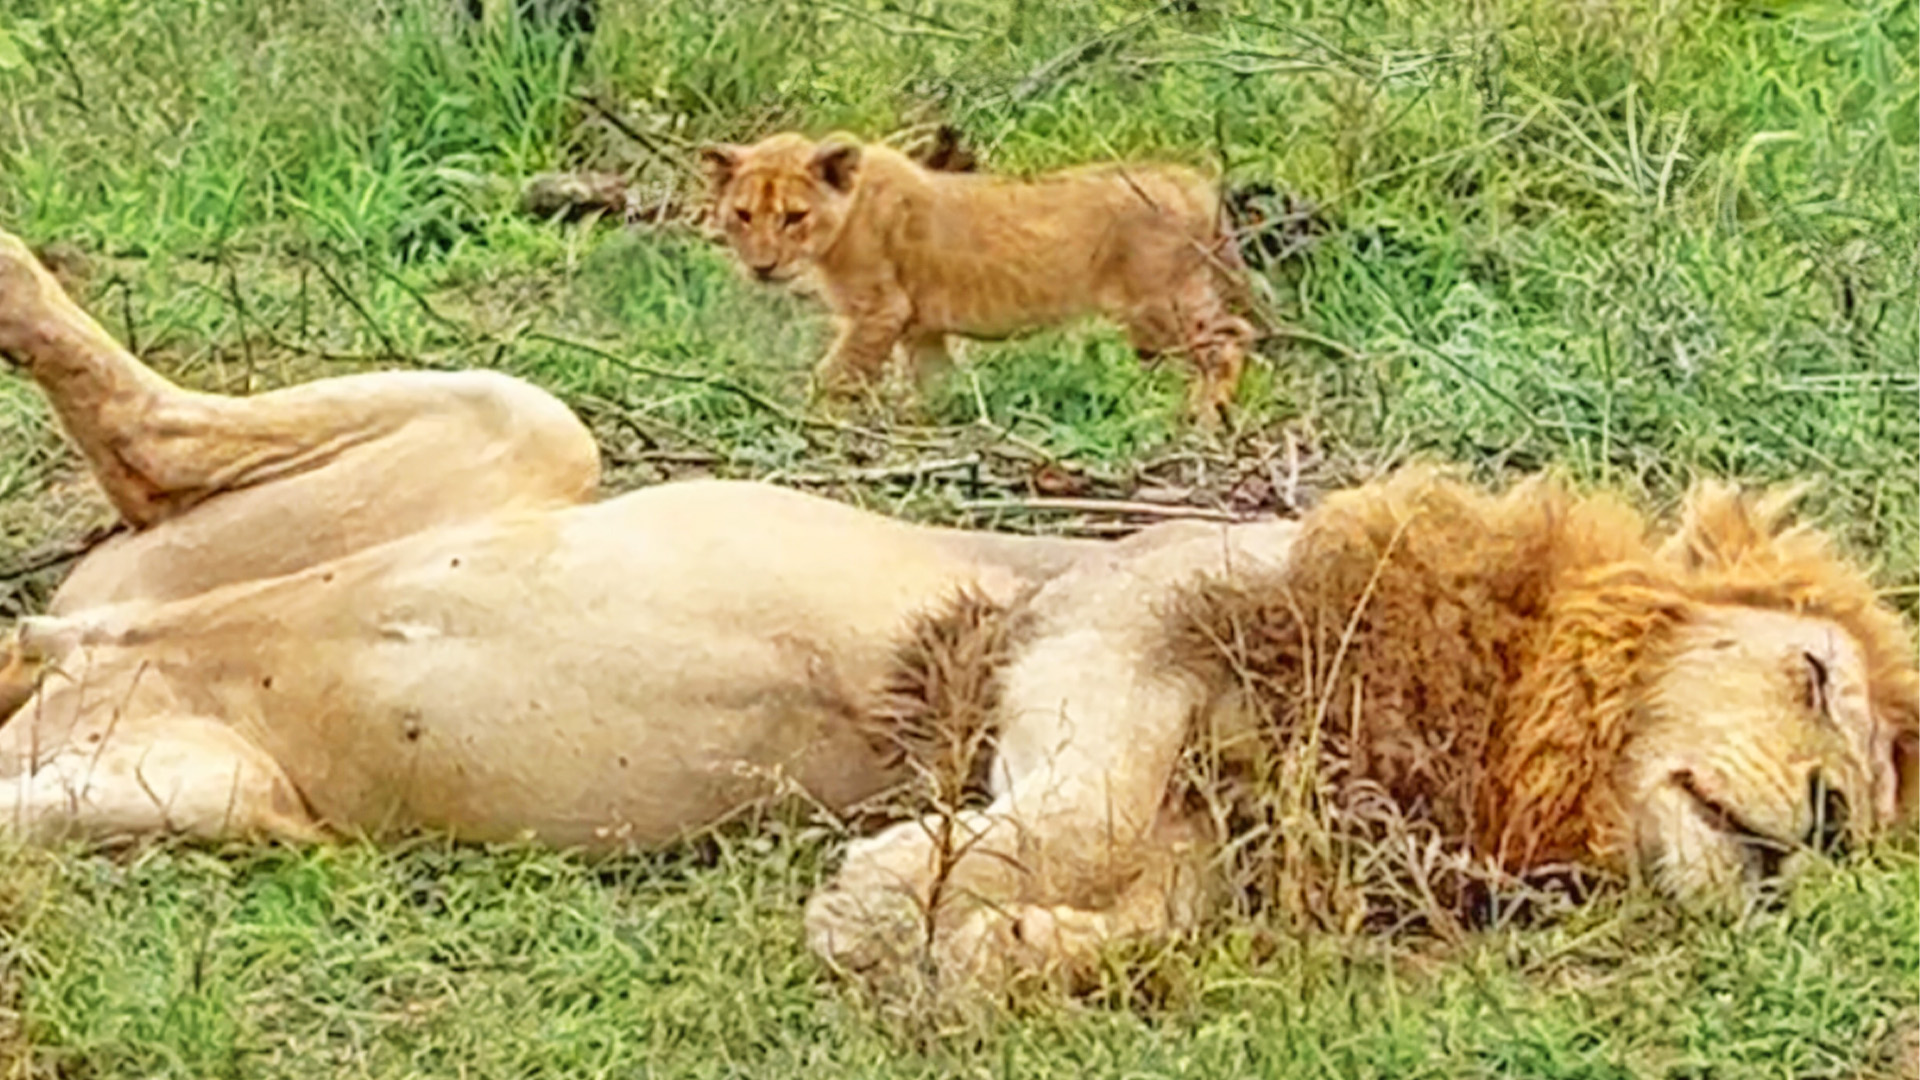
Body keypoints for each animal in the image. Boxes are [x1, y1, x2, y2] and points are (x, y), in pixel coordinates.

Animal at [0, 225, 1912, 1004]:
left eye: (1882, 812)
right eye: (1822, 681)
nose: (1827, 827)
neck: (1496, 738)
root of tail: (83, 654)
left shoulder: (1214, 861)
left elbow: (1093, 934)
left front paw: (973, 951)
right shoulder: (1130, 614)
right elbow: (1020, 822)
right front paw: (909, 907)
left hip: (201, 805)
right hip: (528, 434)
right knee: (166, 434)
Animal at [698, 132, 1257, 422]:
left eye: (793, 217)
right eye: (743, 215)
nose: (762, 266)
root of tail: (1193, 182)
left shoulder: (879, 311)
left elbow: (836, 374)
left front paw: (800, 414)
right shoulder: (919, 326)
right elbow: (935, 379)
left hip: (1161, 302)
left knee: (1232, 337)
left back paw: (1205, 416)